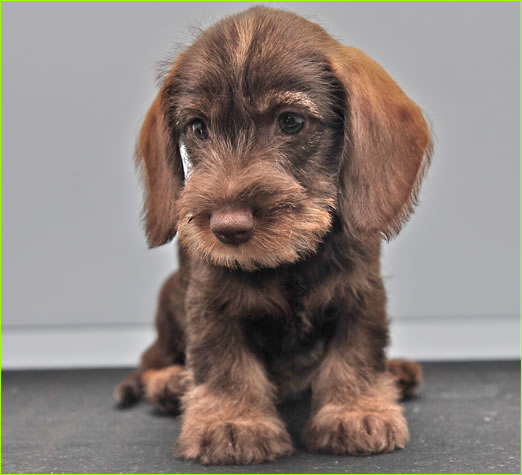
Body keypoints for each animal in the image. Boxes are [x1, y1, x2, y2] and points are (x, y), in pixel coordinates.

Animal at [116, 6, 428, 464]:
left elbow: (355, 352)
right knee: (149, 360)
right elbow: (223, 362)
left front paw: (355, 411)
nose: (227, 227)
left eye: (291, 121)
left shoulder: (361, 293)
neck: (289, 261)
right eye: (198, 127)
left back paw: (399, 372)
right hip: (169, 301)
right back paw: (169, 383)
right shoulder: (210, 304)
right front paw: (232, 422)